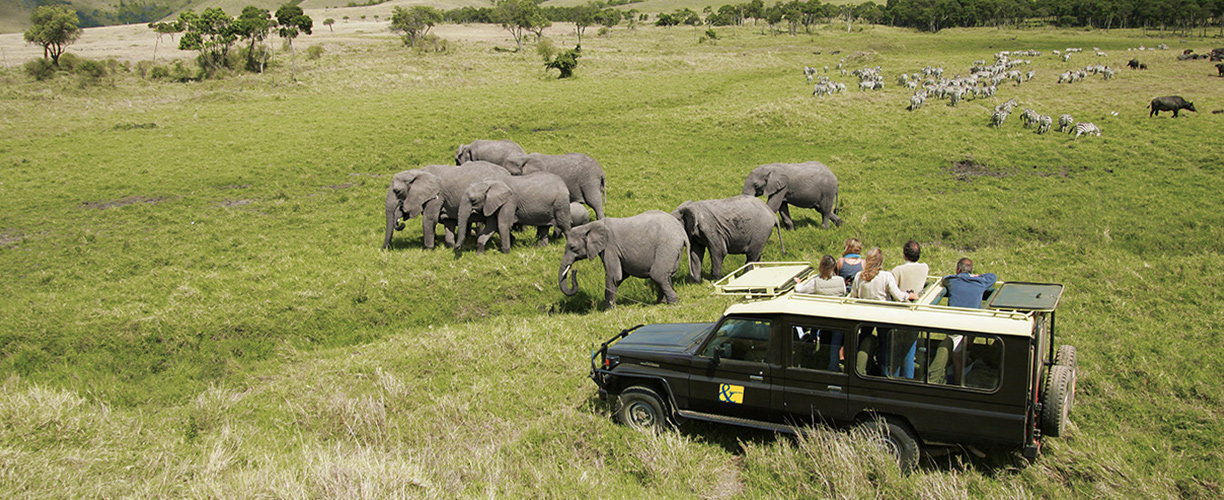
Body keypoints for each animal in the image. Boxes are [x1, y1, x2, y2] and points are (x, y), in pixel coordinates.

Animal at [560, 208, 690, 308]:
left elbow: (614, 276)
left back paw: (672, 303)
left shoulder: (610, 247)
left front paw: (608, 310)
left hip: (667, 246)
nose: (574, 270)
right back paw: (660, 303)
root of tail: (682, 233)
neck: (590, 225)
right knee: (666, 275)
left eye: (572, 247)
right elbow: (621, 275)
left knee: (658, 274)